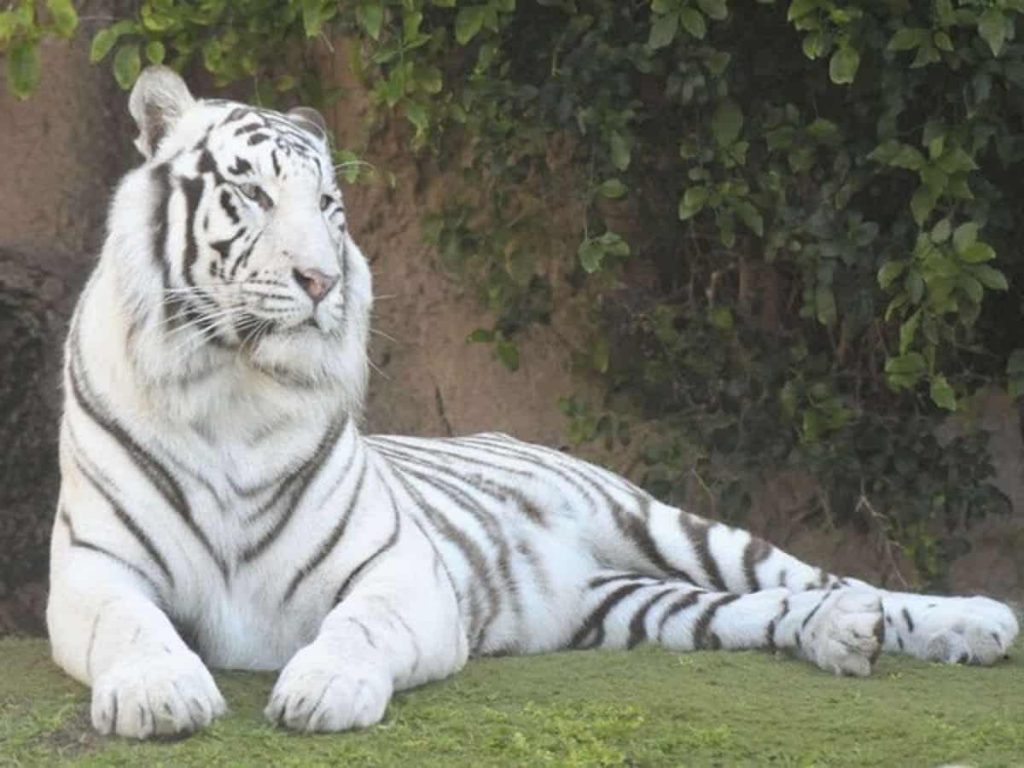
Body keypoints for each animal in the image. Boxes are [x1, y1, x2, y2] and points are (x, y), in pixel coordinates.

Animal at [49, 67, 1015, 741]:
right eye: (251, 193)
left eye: (328, 205)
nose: (323, 280)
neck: (236, 394)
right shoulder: (95, 570)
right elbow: (132, 626)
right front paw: (159, 692)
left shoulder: (400, 570)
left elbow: (359, 626)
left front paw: (325, 688)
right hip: (625, 607)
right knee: (754, 611)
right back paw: (841, 638)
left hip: (668, 524)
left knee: (826, 577)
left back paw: (969, 621)